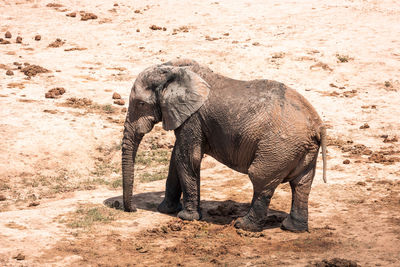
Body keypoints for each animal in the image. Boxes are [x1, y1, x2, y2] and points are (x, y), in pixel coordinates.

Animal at [121, 58, 324, 232]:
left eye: (141, 104)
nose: (132, 210)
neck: (172, 68)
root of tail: (318, 126)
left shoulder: (193, 118)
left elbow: (187, 158)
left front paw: (187, 217)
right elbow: (176, 158)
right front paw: (166, 210)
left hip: (279, 148)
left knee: (261, 179)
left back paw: (243, 226)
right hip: (301, 149)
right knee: (302, 184)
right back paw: (292, 228)